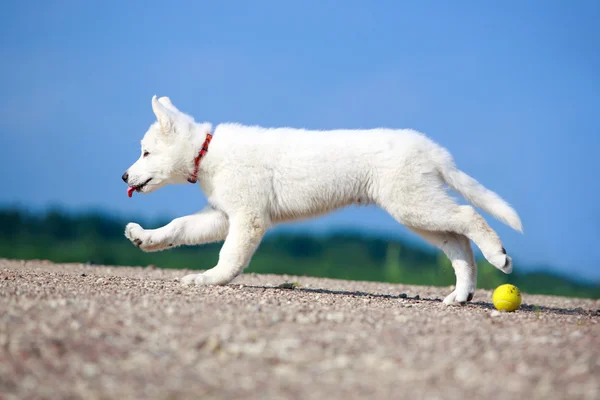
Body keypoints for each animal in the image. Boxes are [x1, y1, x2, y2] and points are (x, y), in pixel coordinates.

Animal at [122, 95, 520, 304]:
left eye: (145, 153)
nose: (124, 178)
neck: (207, 152)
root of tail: (431, 149)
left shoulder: (248, 216)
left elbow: (229, 257)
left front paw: (210, 279)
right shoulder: (223, 214)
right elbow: (179, 227)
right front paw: (145, 237)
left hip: (413, 205)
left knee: (469, 216)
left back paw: (499, 256)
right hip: (416, 210)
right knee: (458, 242)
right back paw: (462, 294)